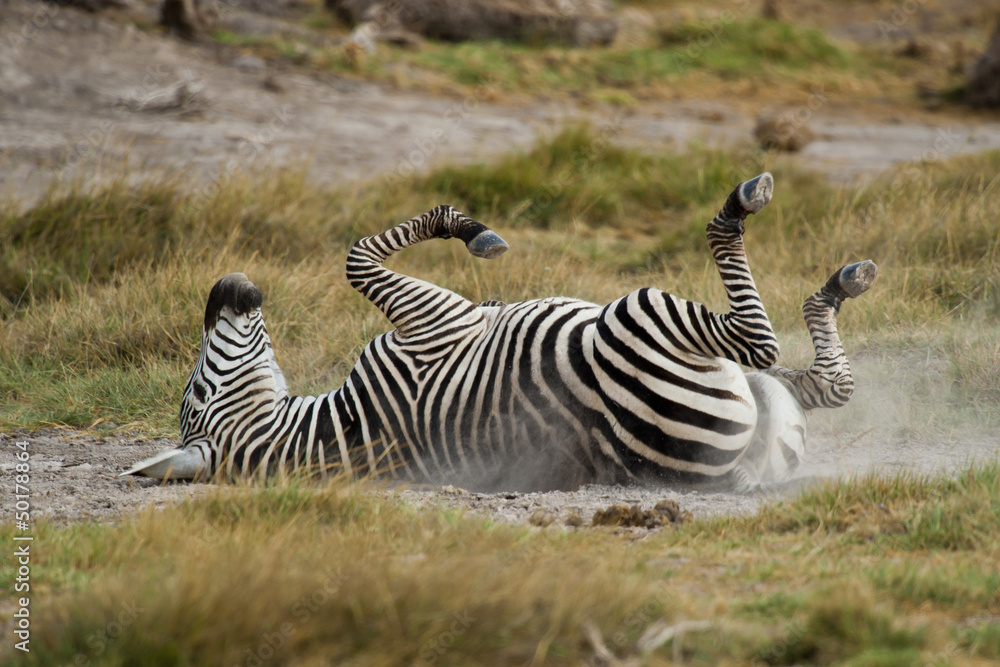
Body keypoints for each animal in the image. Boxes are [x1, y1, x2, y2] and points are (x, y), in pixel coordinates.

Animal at [121, 172, 877, 491]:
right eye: (198, 392)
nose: (224, 286)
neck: (339, 433)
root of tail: (724, 473)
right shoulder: (431, 322)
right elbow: (357, 258)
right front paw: (475, 233)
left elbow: (361, 255)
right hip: (642, 315)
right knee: (762, 340)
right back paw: (751, 211)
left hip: (757, 397)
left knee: (823, 383)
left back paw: (836, 286)